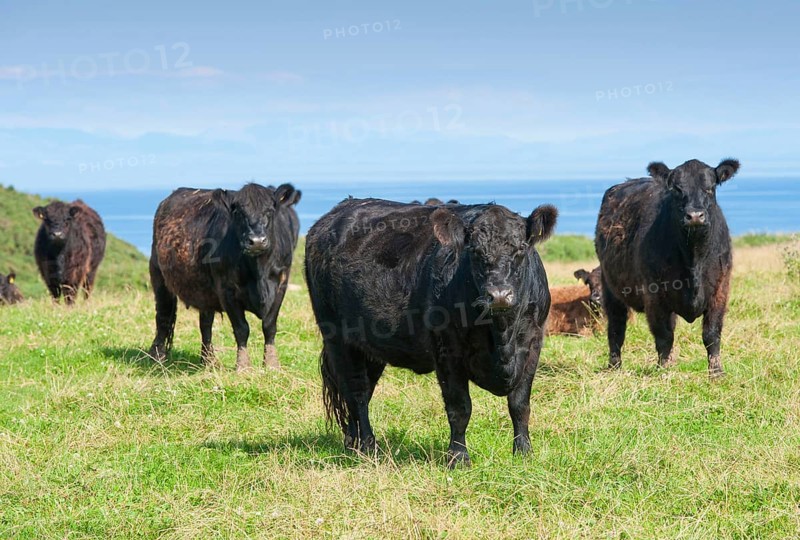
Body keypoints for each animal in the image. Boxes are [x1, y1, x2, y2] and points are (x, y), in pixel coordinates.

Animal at [148, 183, 301, 371]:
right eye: (238, 213)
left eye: (270, 211)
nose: (256, 241)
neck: (259, 273)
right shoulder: (227, 290)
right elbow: (242, 328)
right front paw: (243, 366)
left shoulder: (281, 284)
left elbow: (269, 325)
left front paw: (272, 364)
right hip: (159, 276)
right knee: (163, 316)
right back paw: (157, 357)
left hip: (204, 290)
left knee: (205, 323)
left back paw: (209, 361)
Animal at [305, 198, 558, 467]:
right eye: (475, 252)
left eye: (521, 249)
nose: (499, 295)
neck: (501, 334)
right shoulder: (447, 349)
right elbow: (460, 408)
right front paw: (458, 458)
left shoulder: (532, 344)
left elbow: (520, 404)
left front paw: (524, 453)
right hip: (337, 338)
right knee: (356, 392)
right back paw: (369, 446)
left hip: (369, 348)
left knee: (358, 392)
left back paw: (353, 445)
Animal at [595, 159, 740, 377]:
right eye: (677, 189)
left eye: (710, 188)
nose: (695, 216)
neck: (694, 258)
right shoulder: (654, 296)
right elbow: (664, 336)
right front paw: (663, 371)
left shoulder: (720, 291)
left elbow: (712, 334)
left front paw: (716, 372)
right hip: (609, 286)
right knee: (616, 327)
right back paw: (615, 366)